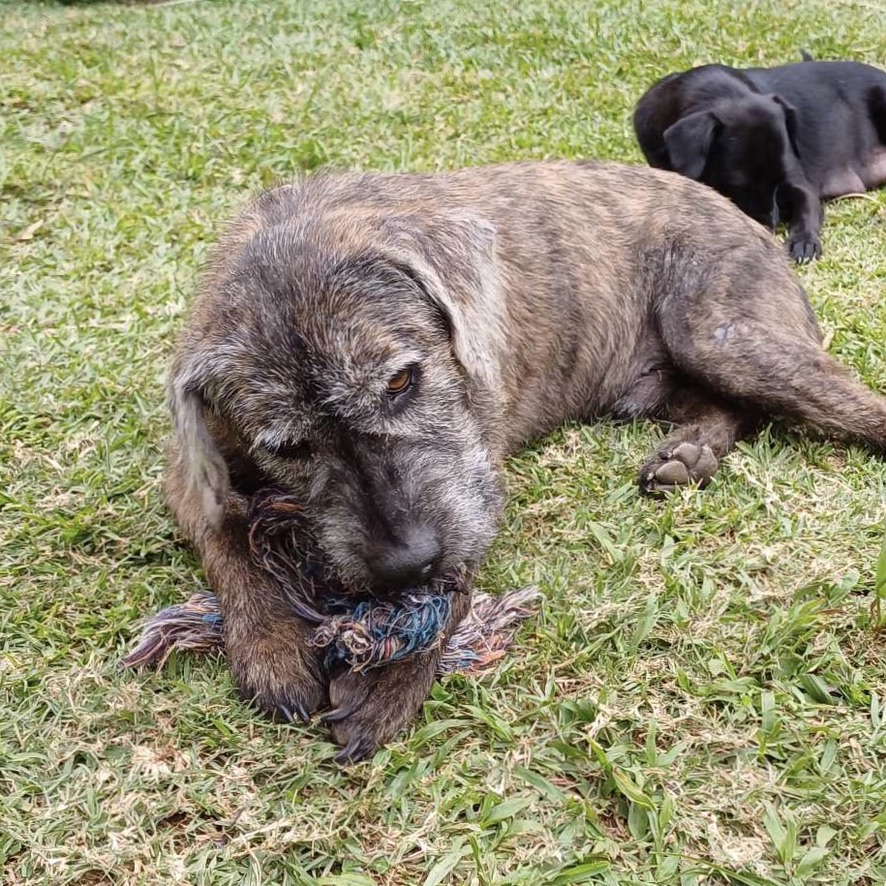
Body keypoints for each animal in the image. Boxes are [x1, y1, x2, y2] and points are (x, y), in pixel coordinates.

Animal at [168, 161, 886, 764]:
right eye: (288, 448)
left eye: (401, 381)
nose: (405, 564)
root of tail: (742, 215)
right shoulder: (193, 476)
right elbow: (225, 534)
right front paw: (270, 642)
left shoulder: (472, 474)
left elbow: (458, 571)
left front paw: (395, 674)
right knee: (728, 407)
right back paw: (690, 452)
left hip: (726, 340)